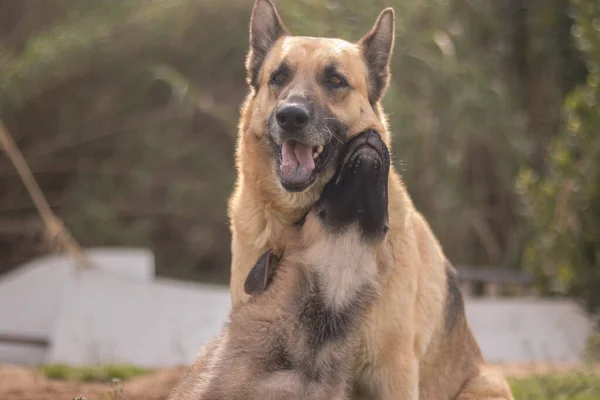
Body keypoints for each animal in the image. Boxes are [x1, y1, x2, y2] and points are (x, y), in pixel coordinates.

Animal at [227, 0, 512, 400]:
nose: (290, 116)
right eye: (278, 77)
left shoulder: (393, 371)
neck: (308, 224)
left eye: (335, 81)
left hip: (485, 385)